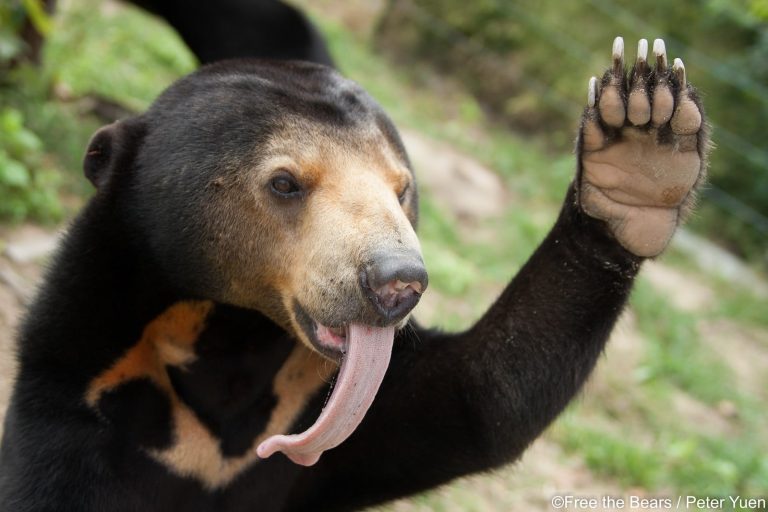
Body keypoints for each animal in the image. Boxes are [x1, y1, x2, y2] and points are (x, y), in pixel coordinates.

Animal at [0, 1, 708, 511]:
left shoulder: (329, 413)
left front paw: (642, 145)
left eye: (402, 190)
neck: (232, 339)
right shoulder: (81, 389)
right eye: (285, 183)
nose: (398, 284)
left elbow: (485, 397)